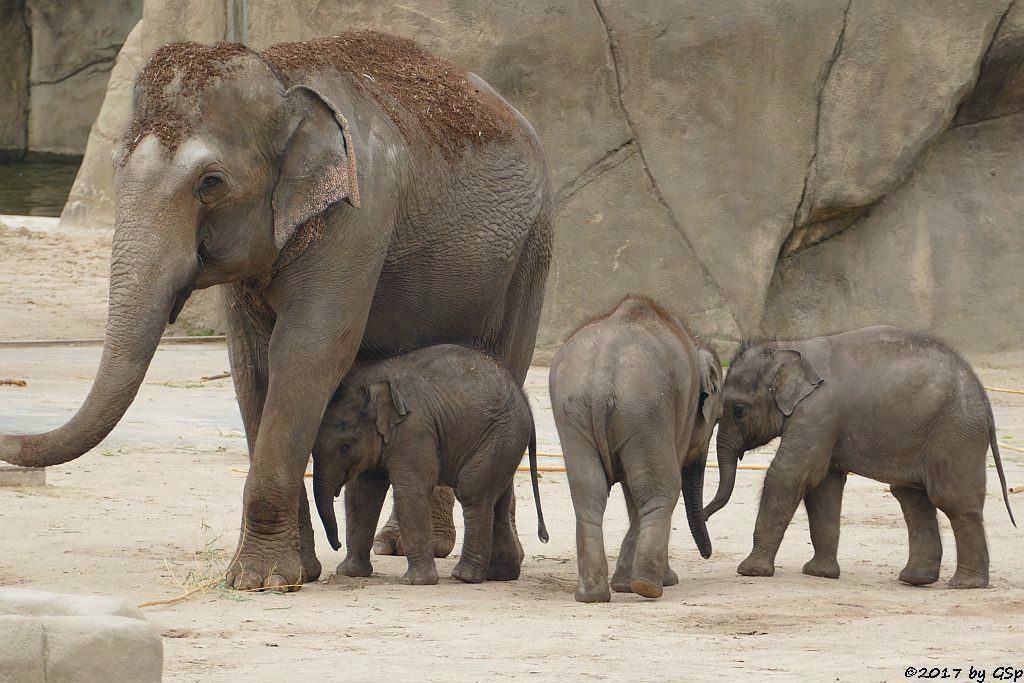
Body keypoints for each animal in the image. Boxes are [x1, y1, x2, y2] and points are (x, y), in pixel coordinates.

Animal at [311, 344, 548, 585]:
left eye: (345, 447)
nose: (337, 544)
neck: (373, 385)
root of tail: (526, 402)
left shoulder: (414, 428)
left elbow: (412, 489)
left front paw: (416, 582)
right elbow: (363, 494)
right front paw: (349, 573)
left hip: (501, 436)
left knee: (472, 492)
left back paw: (465, 576)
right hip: (506, 444)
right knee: (498, 498)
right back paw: (500, 575)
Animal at [548, 296, 724, 602]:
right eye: (717, 418)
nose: (707, 555)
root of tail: (602, 377)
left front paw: (621, 585)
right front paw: (661, 581)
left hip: (574, 411)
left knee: (588, 492)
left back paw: (592, 595)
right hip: (644, 408)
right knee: (660, 490)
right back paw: (648, 587)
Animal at [704, 325, 1015, 589]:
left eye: (738, 410)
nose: (706, 549)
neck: (790, 346)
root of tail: (984, 396)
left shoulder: (819, 410)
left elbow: (789, 473)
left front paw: (751, 571)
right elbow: (823, 486)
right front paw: (820, 574)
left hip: (956, 433)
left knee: (952, 500)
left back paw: (965, 584)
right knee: (912, 496)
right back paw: (916, 580)